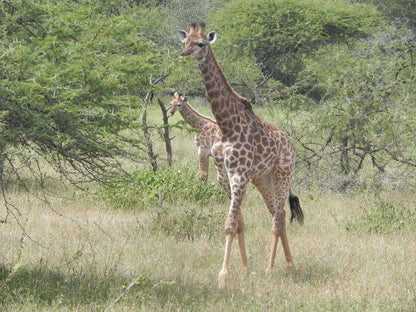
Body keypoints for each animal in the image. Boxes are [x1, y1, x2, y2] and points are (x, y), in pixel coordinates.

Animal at [177, 23, 304, 288]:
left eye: (201, 43)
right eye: (184, 42)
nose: (184, 55)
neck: (227, 124)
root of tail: (290, 143)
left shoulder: (239, 175)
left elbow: (229, 224)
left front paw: (223, 276)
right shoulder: (224, 175)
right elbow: (238, 224)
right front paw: (244, 270)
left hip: (283, 173)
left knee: (278, 218)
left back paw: (270, 268)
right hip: (263, 178)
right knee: (278, 213)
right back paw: (289, 264)